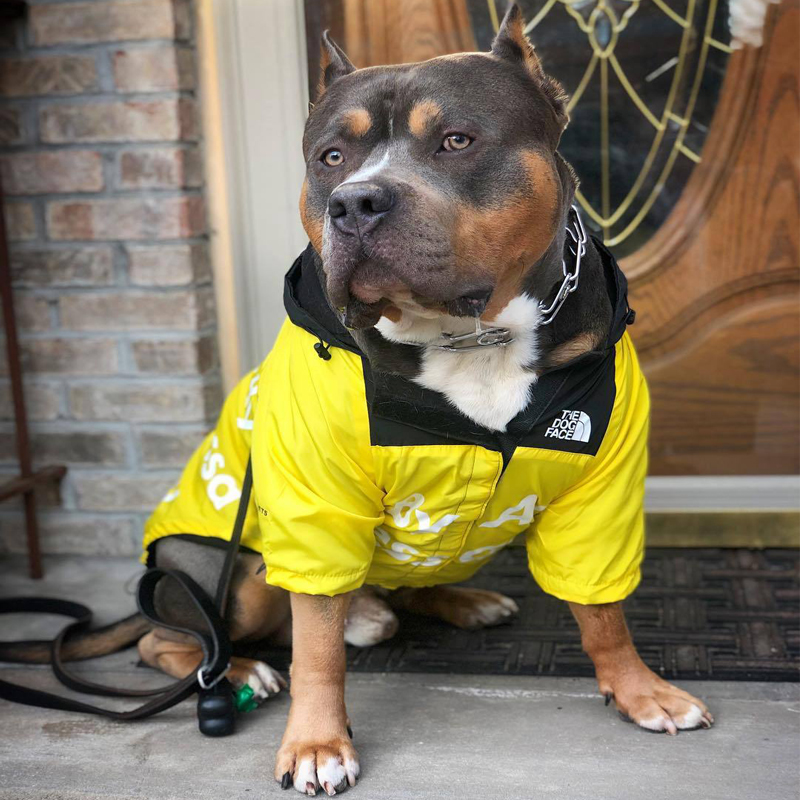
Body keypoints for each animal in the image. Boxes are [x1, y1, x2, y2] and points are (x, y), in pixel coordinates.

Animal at [10, 4, 712, 792]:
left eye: (457, 140)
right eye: (330, 159)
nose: (356, 202)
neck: (472, 338)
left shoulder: (601, 497)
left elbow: (604, 609)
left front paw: (639, 689)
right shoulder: (314, 506)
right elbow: (315, 648)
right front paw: (317, 742)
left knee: (402, 588)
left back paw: (448, 602)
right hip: (227, 574)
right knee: (174, 643)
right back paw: (242, 664)